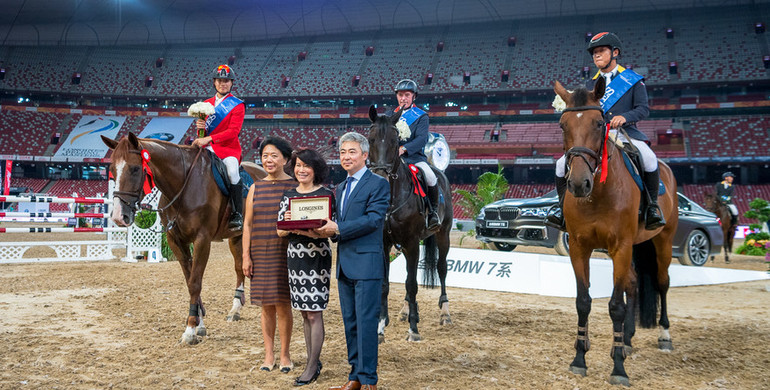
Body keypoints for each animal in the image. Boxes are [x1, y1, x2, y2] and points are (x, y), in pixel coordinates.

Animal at [102, 133, 266, 344]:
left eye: (135, 168)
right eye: (113, 170)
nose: (118, 217)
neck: (183, 185)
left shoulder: (202, 240)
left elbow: (195, 282)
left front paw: (189, 331)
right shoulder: (176, 240)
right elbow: (190, 281)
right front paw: (199, 323)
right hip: (237, 237)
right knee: (239, 267)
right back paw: (235, 309)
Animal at [364, 104, 452, 342]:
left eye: (396, 141)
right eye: (371, 139)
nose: (382, 177)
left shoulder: (413, 242)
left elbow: (412, 284)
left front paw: (413, 330)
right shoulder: (384, 243)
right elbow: (385, 284)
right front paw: (380, 327)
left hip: (443, 235)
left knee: (441, 269)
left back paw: (444, 313)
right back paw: (406, 311)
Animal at [552, 80, 680, 386]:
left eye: (600, 123)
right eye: (562, 125)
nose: (578, 184)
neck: (598, 192)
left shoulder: (620, 246)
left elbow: (615, 307)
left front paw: (618, 369)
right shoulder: (579, 247)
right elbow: (583, 301)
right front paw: (579, 359)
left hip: (663, 240)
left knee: (662, 282)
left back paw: (664, 336)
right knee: (632, 284)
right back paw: (629, 341)